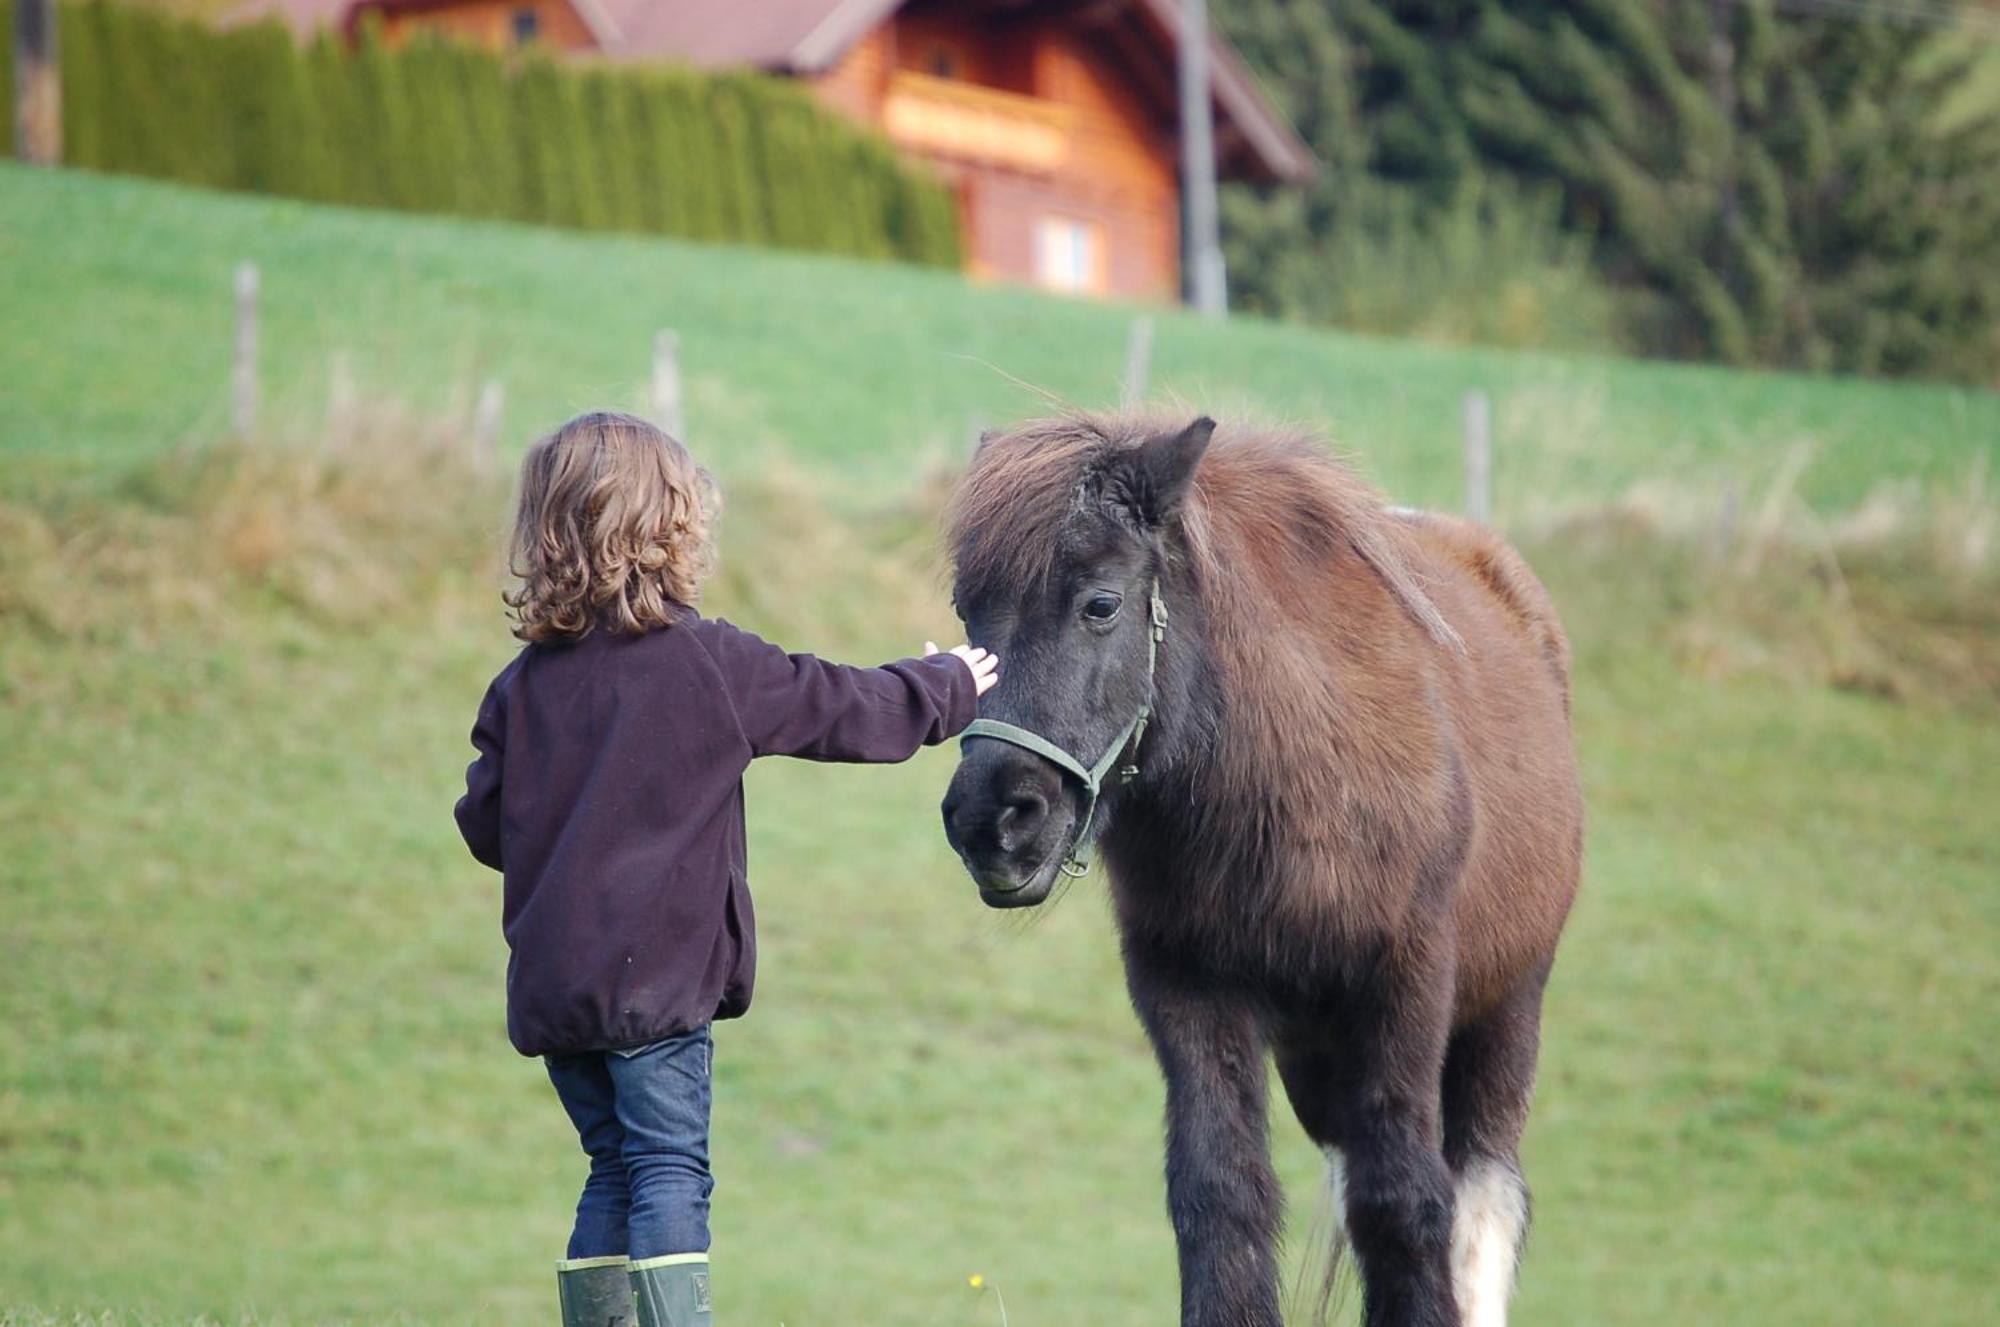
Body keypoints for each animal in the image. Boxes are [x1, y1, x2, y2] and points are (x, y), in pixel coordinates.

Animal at [944, 415, 1584, 1327]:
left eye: (1101, 602)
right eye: (967, 609)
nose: (993, 821)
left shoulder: (1408, 982)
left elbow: (1406, 1202)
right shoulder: (1189, 990)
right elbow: (1222, 1194)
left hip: (1504, 1012)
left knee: (1480, 1204)